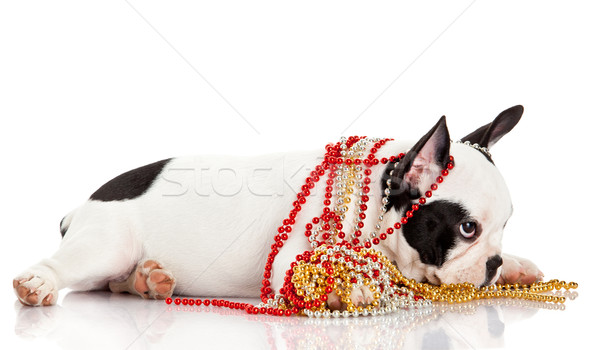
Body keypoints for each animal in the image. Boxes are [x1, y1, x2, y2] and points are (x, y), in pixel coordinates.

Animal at [14, 106, 540, 306]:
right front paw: (353, 286)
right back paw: (40, 282)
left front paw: (515, 266)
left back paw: (147, 280)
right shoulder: (293, 261)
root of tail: (81, 206)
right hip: (106, 245)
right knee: (68, 269)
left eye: (505, 228)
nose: (492, 263)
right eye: (467, 229)